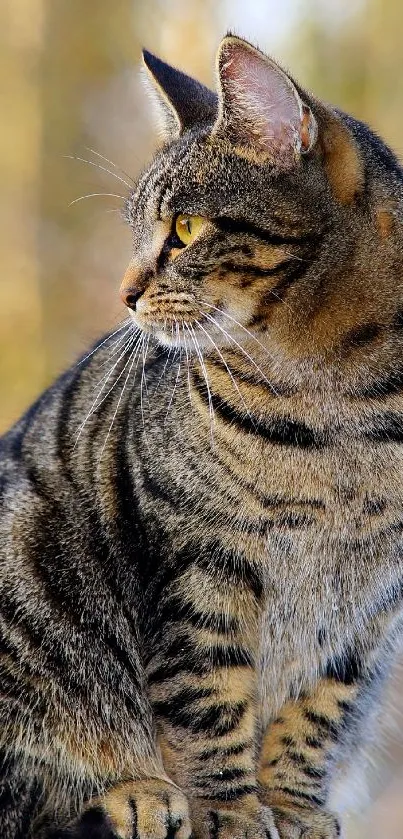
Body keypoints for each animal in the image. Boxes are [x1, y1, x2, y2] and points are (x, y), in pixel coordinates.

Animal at [0, 36, 403, 839]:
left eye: (184, 229)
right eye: (135, 230)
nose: (123, 292)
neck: (344, 408)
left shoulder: (371, 603)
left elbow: (319, 708)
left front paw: (289, 804)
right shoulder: (199, 555)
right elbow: (207, 693)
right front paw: (230, 808)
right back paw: (133, 792)